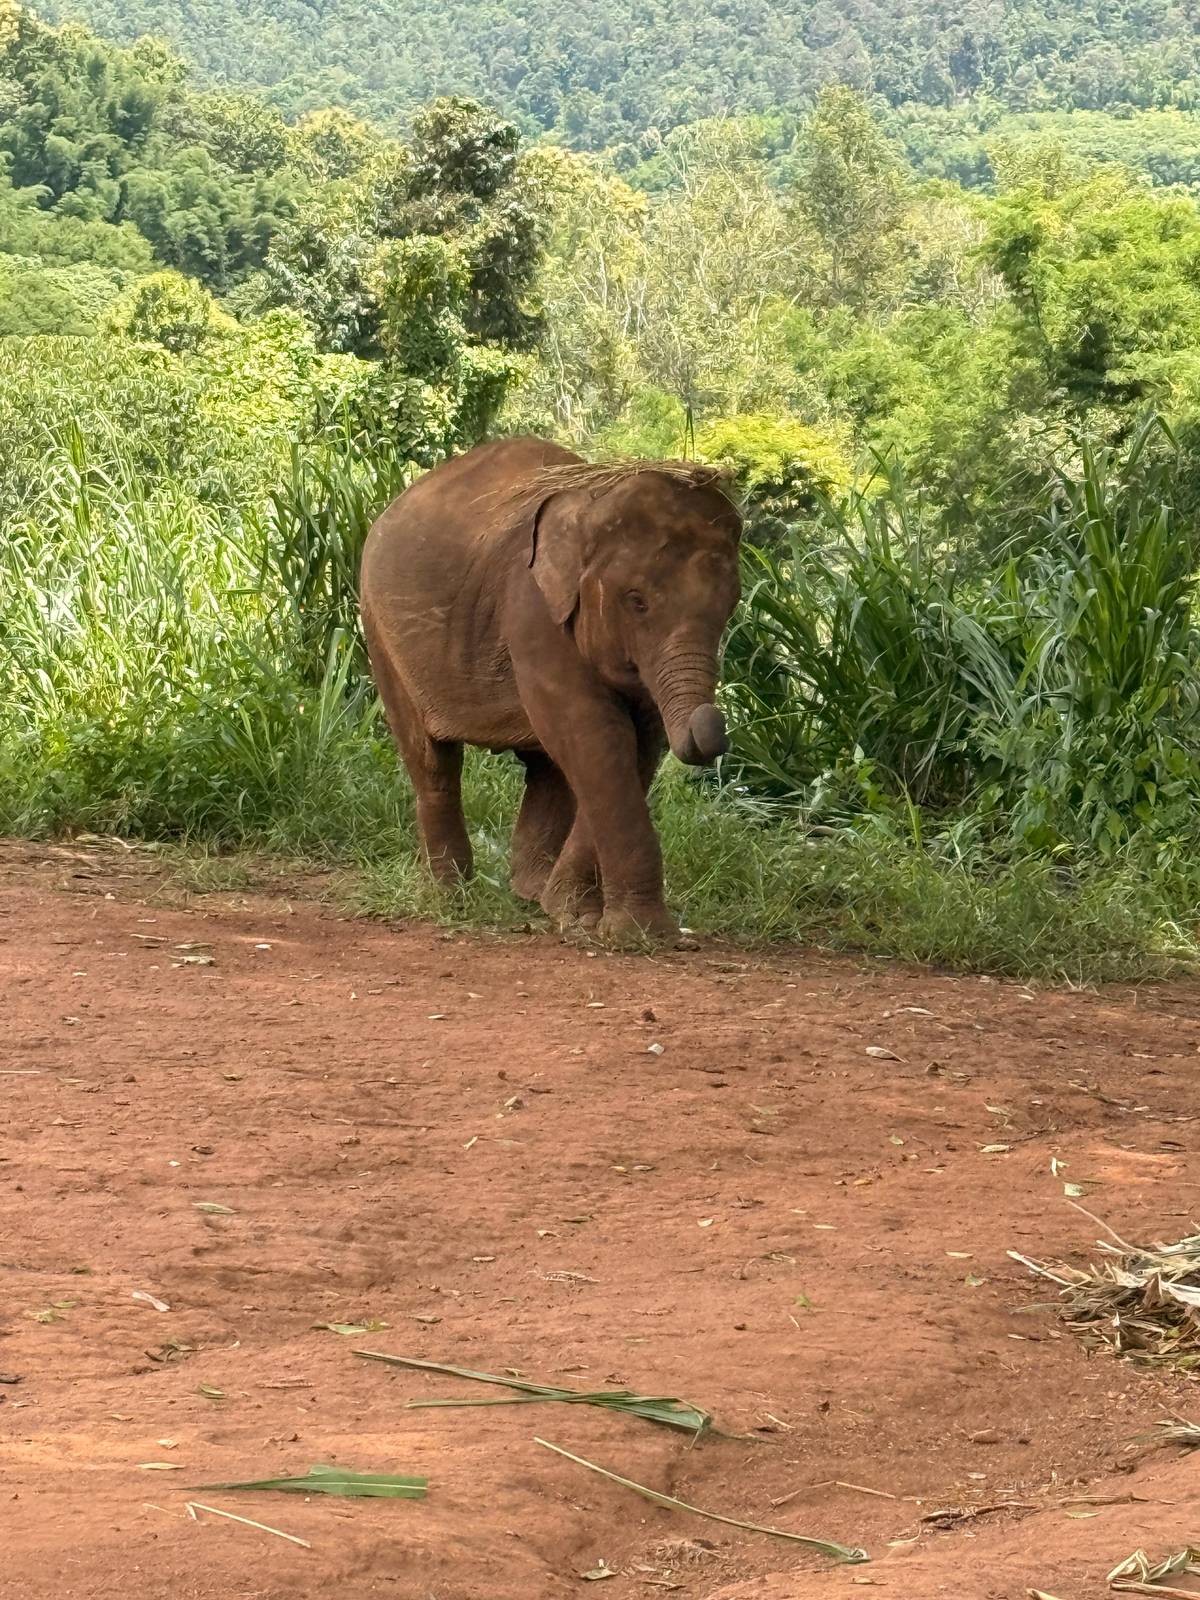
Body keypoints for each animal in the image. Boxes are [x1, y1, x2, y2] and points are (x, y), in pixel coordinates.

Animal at [359, 435, 742, 941]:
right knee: (432, 759)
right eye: (636, 601)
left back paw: (531, 893)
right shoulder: (532, 609)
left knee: (548, 767)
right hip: (381, 632)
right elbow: (597, 733)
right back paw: (452, 895)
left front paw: (573, 915)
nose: (710, 730)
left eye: (730, 606)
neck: (595, 499)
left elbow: (635, 744)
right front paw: (636, 934)